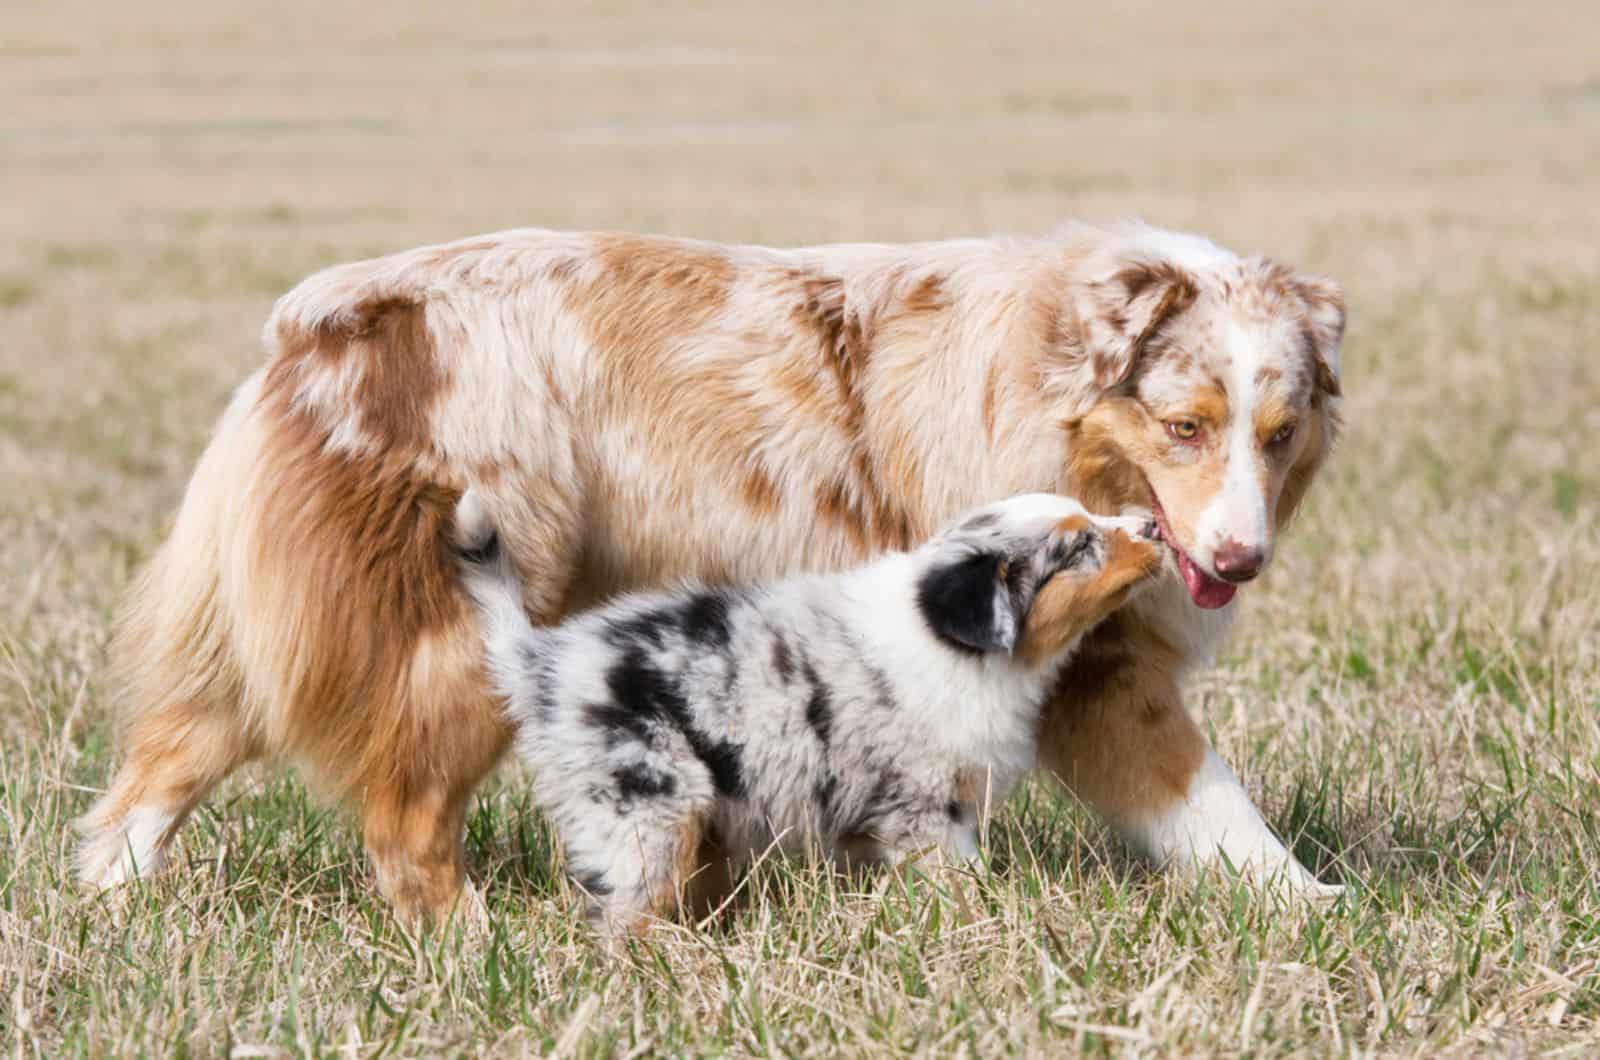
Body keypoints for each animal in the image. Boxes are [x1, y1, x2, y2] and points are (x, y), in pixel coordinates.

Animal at [457, 493, 1158, 935]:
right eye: (1079, 546)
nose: (1152, 524)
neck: (954, 643)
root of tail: (539, 660)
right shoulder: (927, 812)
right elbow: (959, 881)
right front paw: (979, 922)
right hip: (645, 809)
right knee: (624, 913)